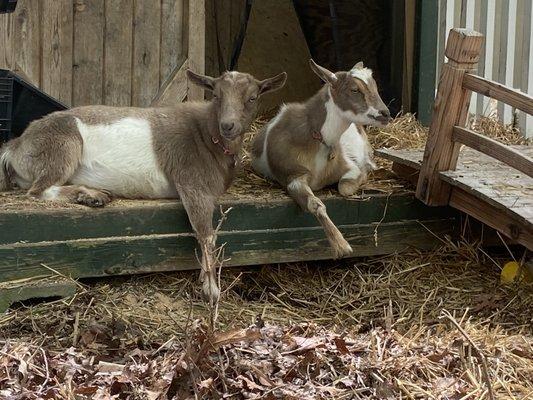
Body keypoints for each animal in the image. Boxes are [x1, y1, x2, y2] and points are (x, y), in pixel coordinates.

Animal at [0, 69, 286, 304]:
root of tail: (16, 146)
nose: (228, 125)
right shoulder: (191, 182)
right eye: (215, 95)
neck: (206, 135)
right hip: (62, 144)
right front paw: (211, 289)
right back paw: (90, 194)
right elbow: (206, 234)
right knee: (40, 190)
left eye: (252, 98)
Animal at [249, 59, 390, 260]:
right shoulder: (293, 177)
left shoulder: (349, 166)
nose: (385, 113)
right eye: (354, 89)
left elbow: (345, 187)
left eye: (374, 86)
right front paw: (341, 245)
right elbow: (315, 204)